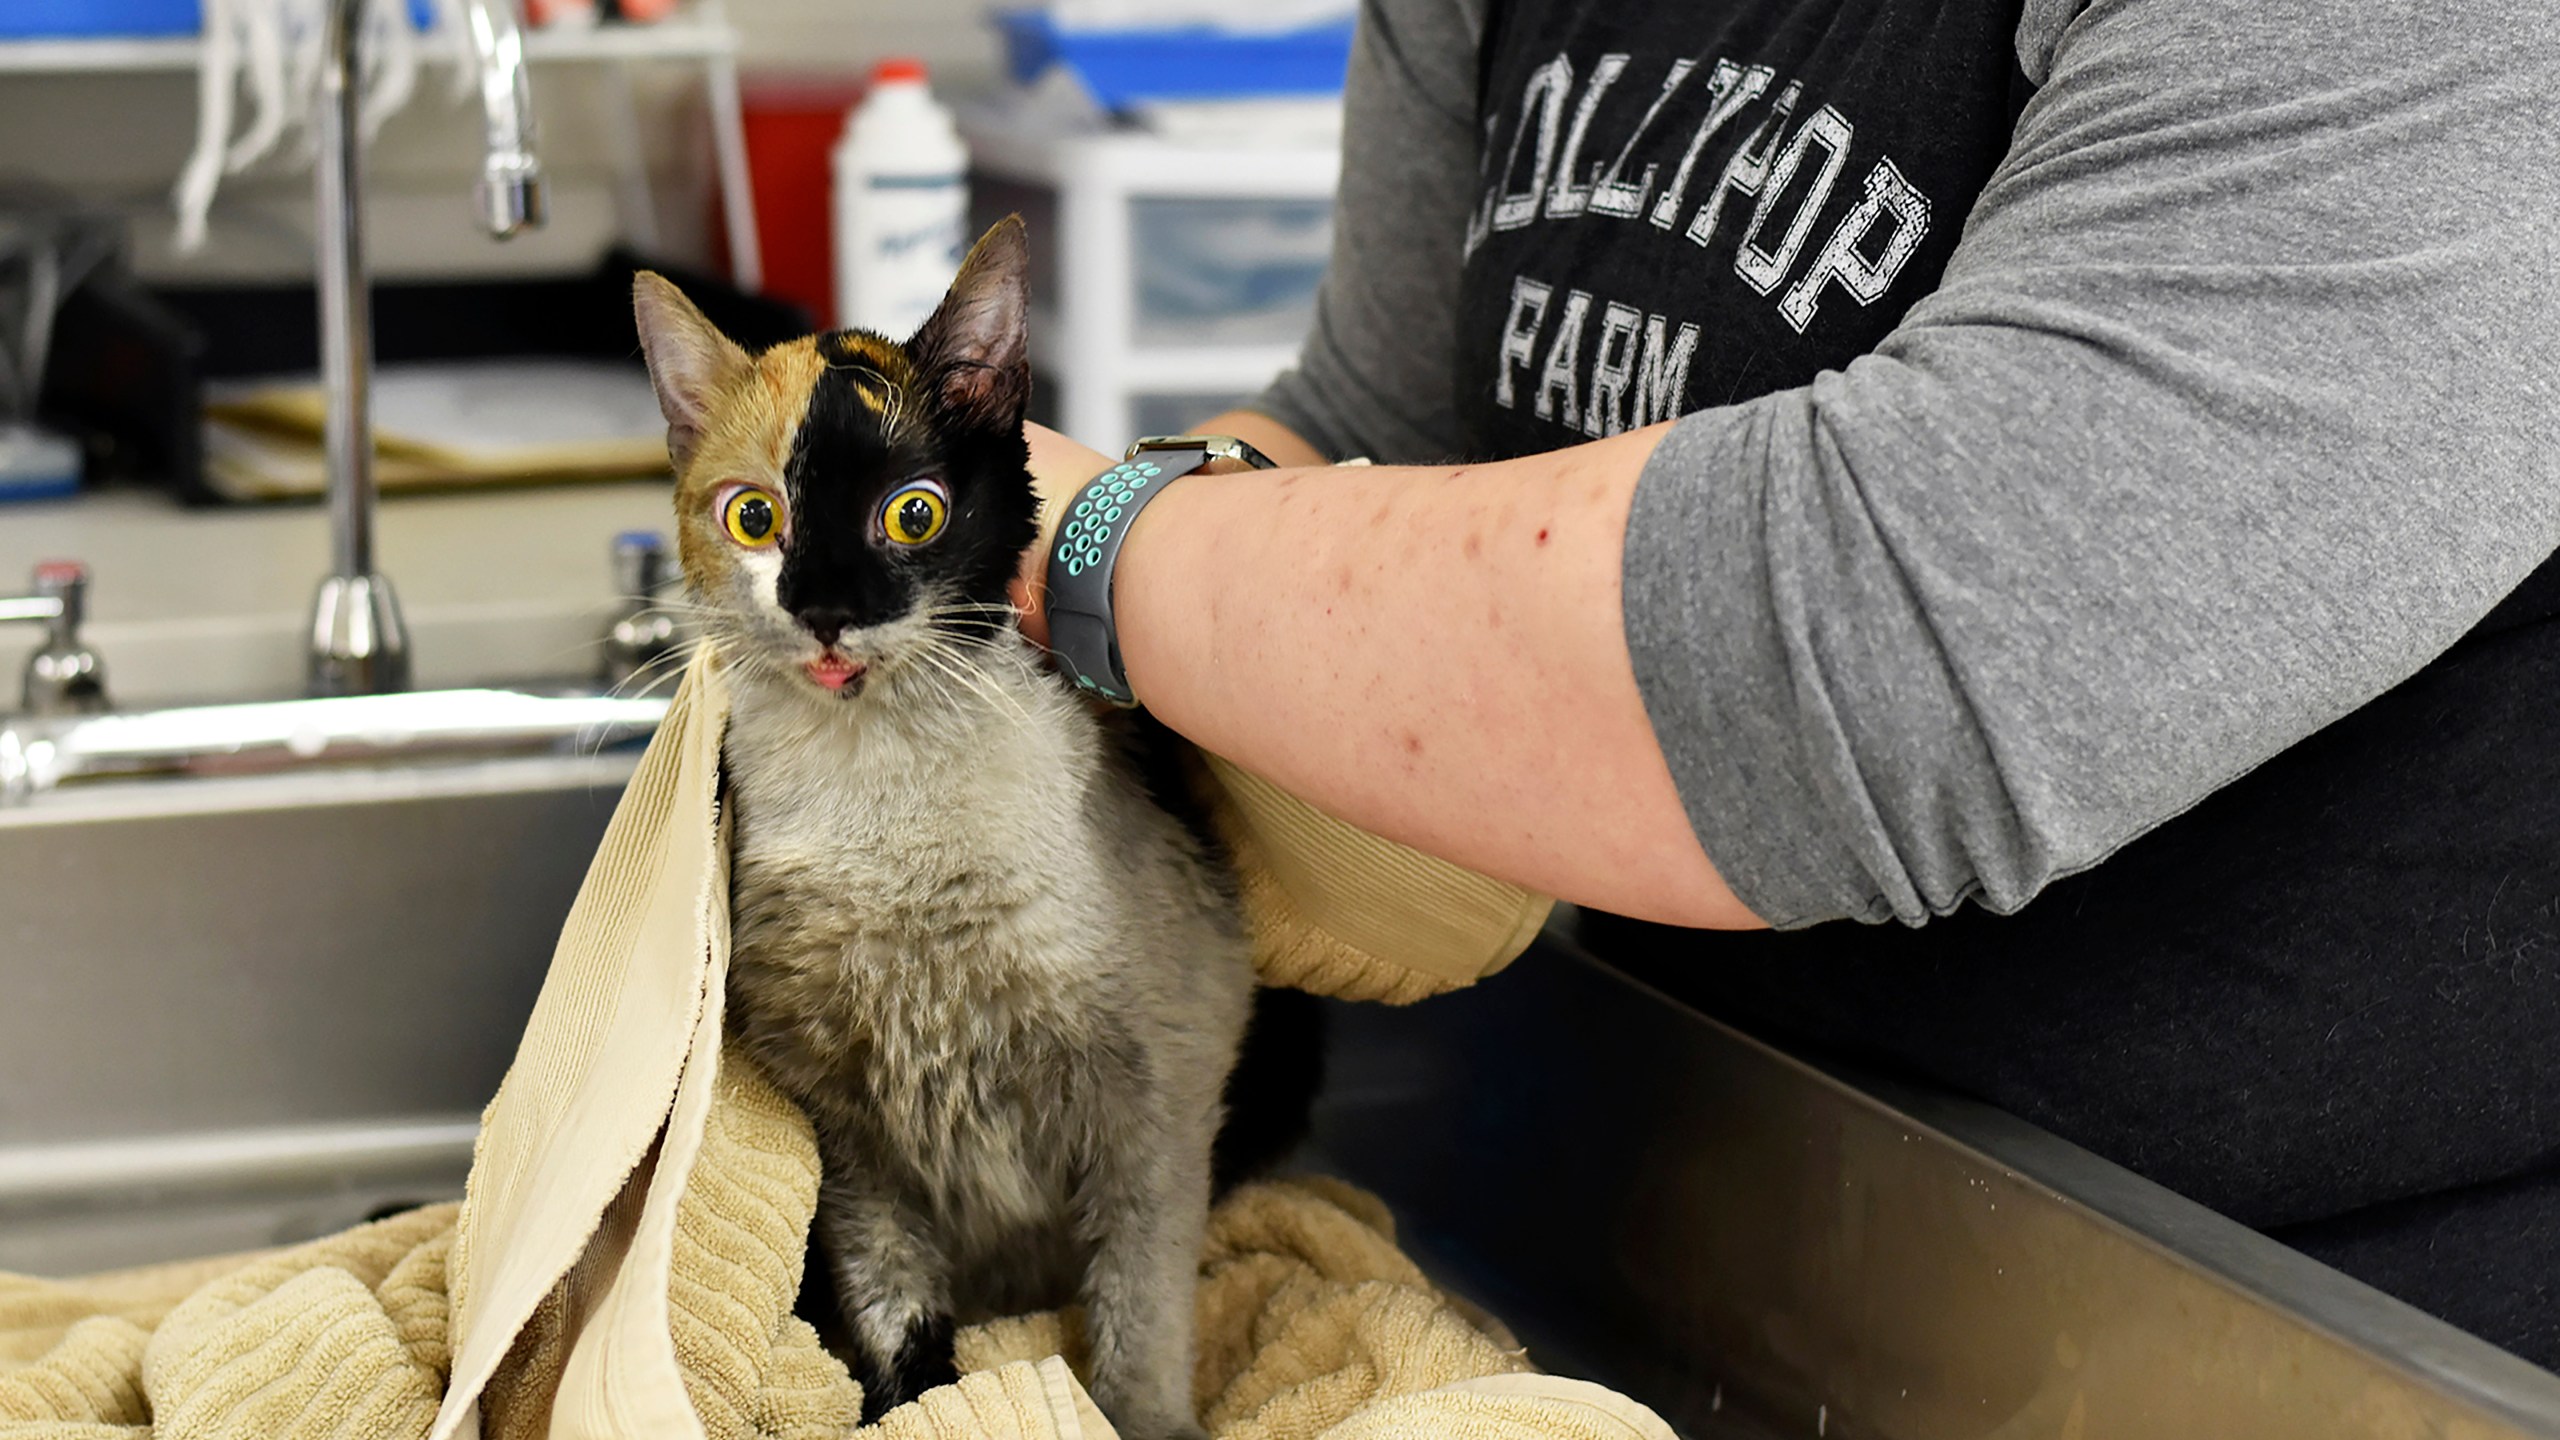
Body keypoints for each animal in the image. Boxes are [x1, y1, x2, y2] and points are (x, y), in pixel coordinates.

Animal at [629, 215, 1249, 1434]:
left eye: (913, 513)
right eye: (754, 517)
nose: (824, 608)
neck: (887, 837)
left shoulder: (1158, 1090)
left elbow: (1140, 1316)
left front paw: (1139, 1417)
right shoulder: (847, 1132)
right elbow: (896, 1316)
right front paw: (909, 1399)